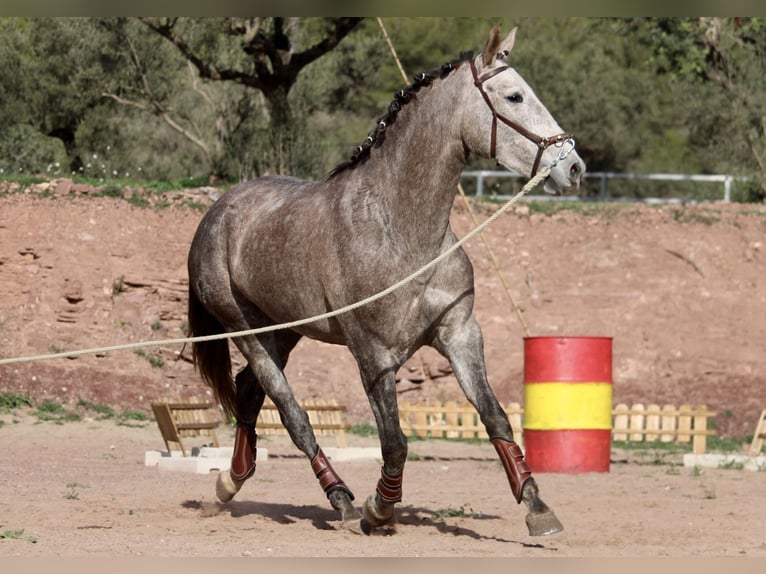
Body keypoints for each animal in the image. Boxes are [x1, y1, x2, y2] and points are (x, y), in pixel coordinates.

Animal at [189, 25, 584, 540]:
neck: (400, 228)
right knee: (292, 414)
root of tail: (215, 214)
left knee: (248, 393)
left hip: (286, 330)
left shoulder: (460, 334)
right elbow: (394, 441)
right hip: (248, 332)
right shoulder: (373, 355)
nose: (573, 167)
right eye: (514, 96)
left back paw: (229, 484)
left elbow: (495, 418)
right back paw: (339, 499)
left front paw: (538, 508)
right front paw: (379, 510)